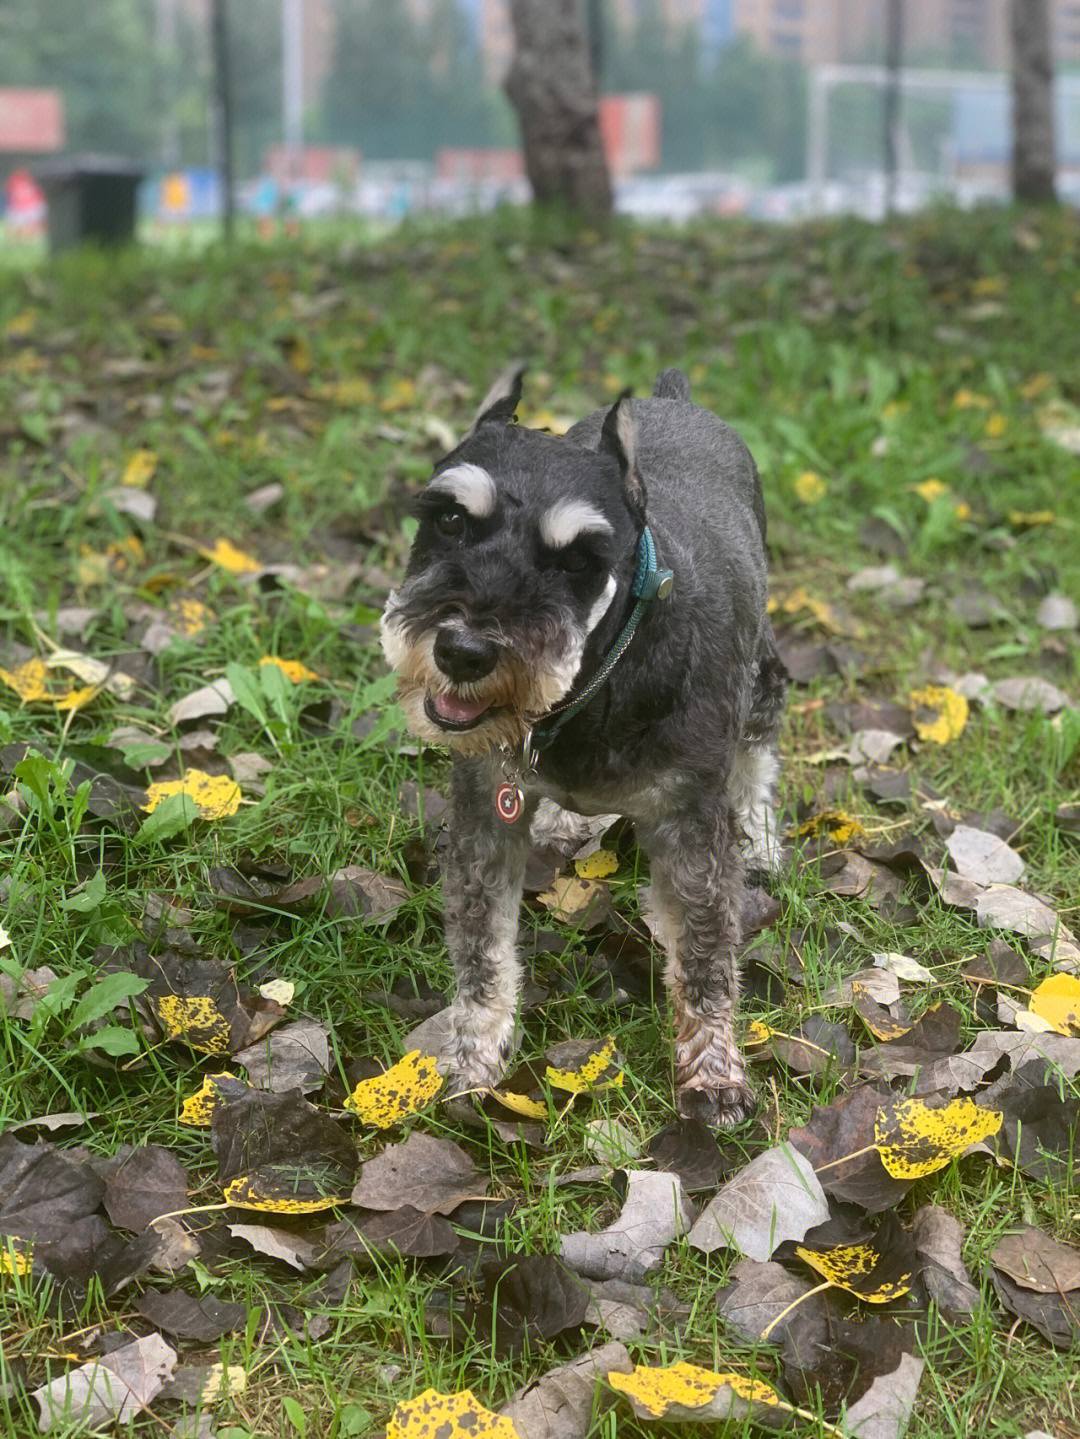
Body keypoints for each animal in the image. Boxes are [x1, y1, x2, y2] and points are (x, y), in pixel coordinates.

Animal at [379, 362, 788, 1122]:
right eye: (449, 518)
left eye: (578, 561)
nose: (463, 651)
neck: (596, 685)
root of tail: (673, 397)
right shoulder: (486, 813)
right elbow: (482, 950)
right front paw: (474, 1060)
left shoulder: (691, 826)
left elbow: (706, 956)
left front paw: (713, 1073)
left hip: (763, 676)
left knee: (758, 751)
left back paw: (763, 836)